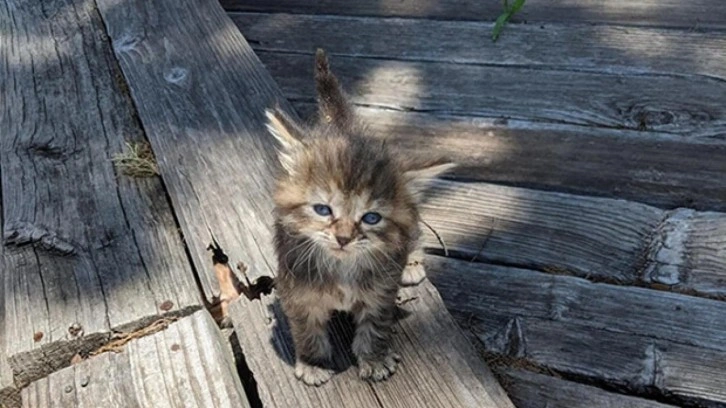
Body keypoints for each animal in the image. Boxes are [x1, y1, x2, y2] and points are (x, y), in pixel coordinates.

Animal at [268, 48, 452, 386]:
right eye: (323, 210)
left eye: (371, 218)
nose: (343, 238)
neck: (342, 268)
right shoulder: (296, 290)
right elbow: (306, 328)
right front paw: (313, 362)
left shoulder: (381, 293)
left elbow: (375, 328)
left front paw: (375, 359)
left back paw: (412, 263)